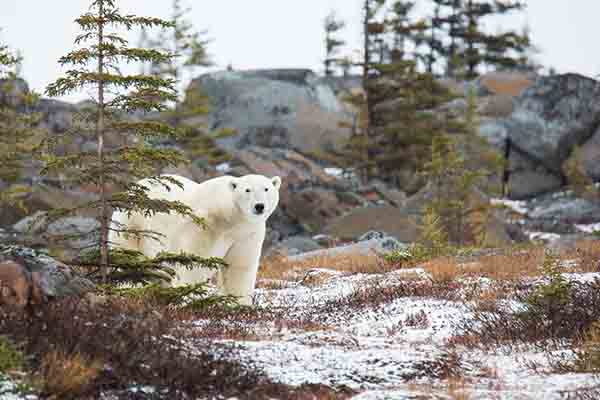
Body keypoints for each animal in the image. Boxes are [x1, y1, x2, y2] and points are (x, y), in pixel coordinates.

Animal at [109, 173, 282, 304]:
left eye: (266, 188)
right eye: (247, 190)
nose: (259, 206)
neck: (227, 218)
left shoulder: (245, 234)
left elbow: (239, 266)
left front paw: (239, 305)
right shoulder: (202, 226)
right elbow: (194, 263)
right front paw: (189, 299)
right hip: (132, 223)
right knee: (127, 257)